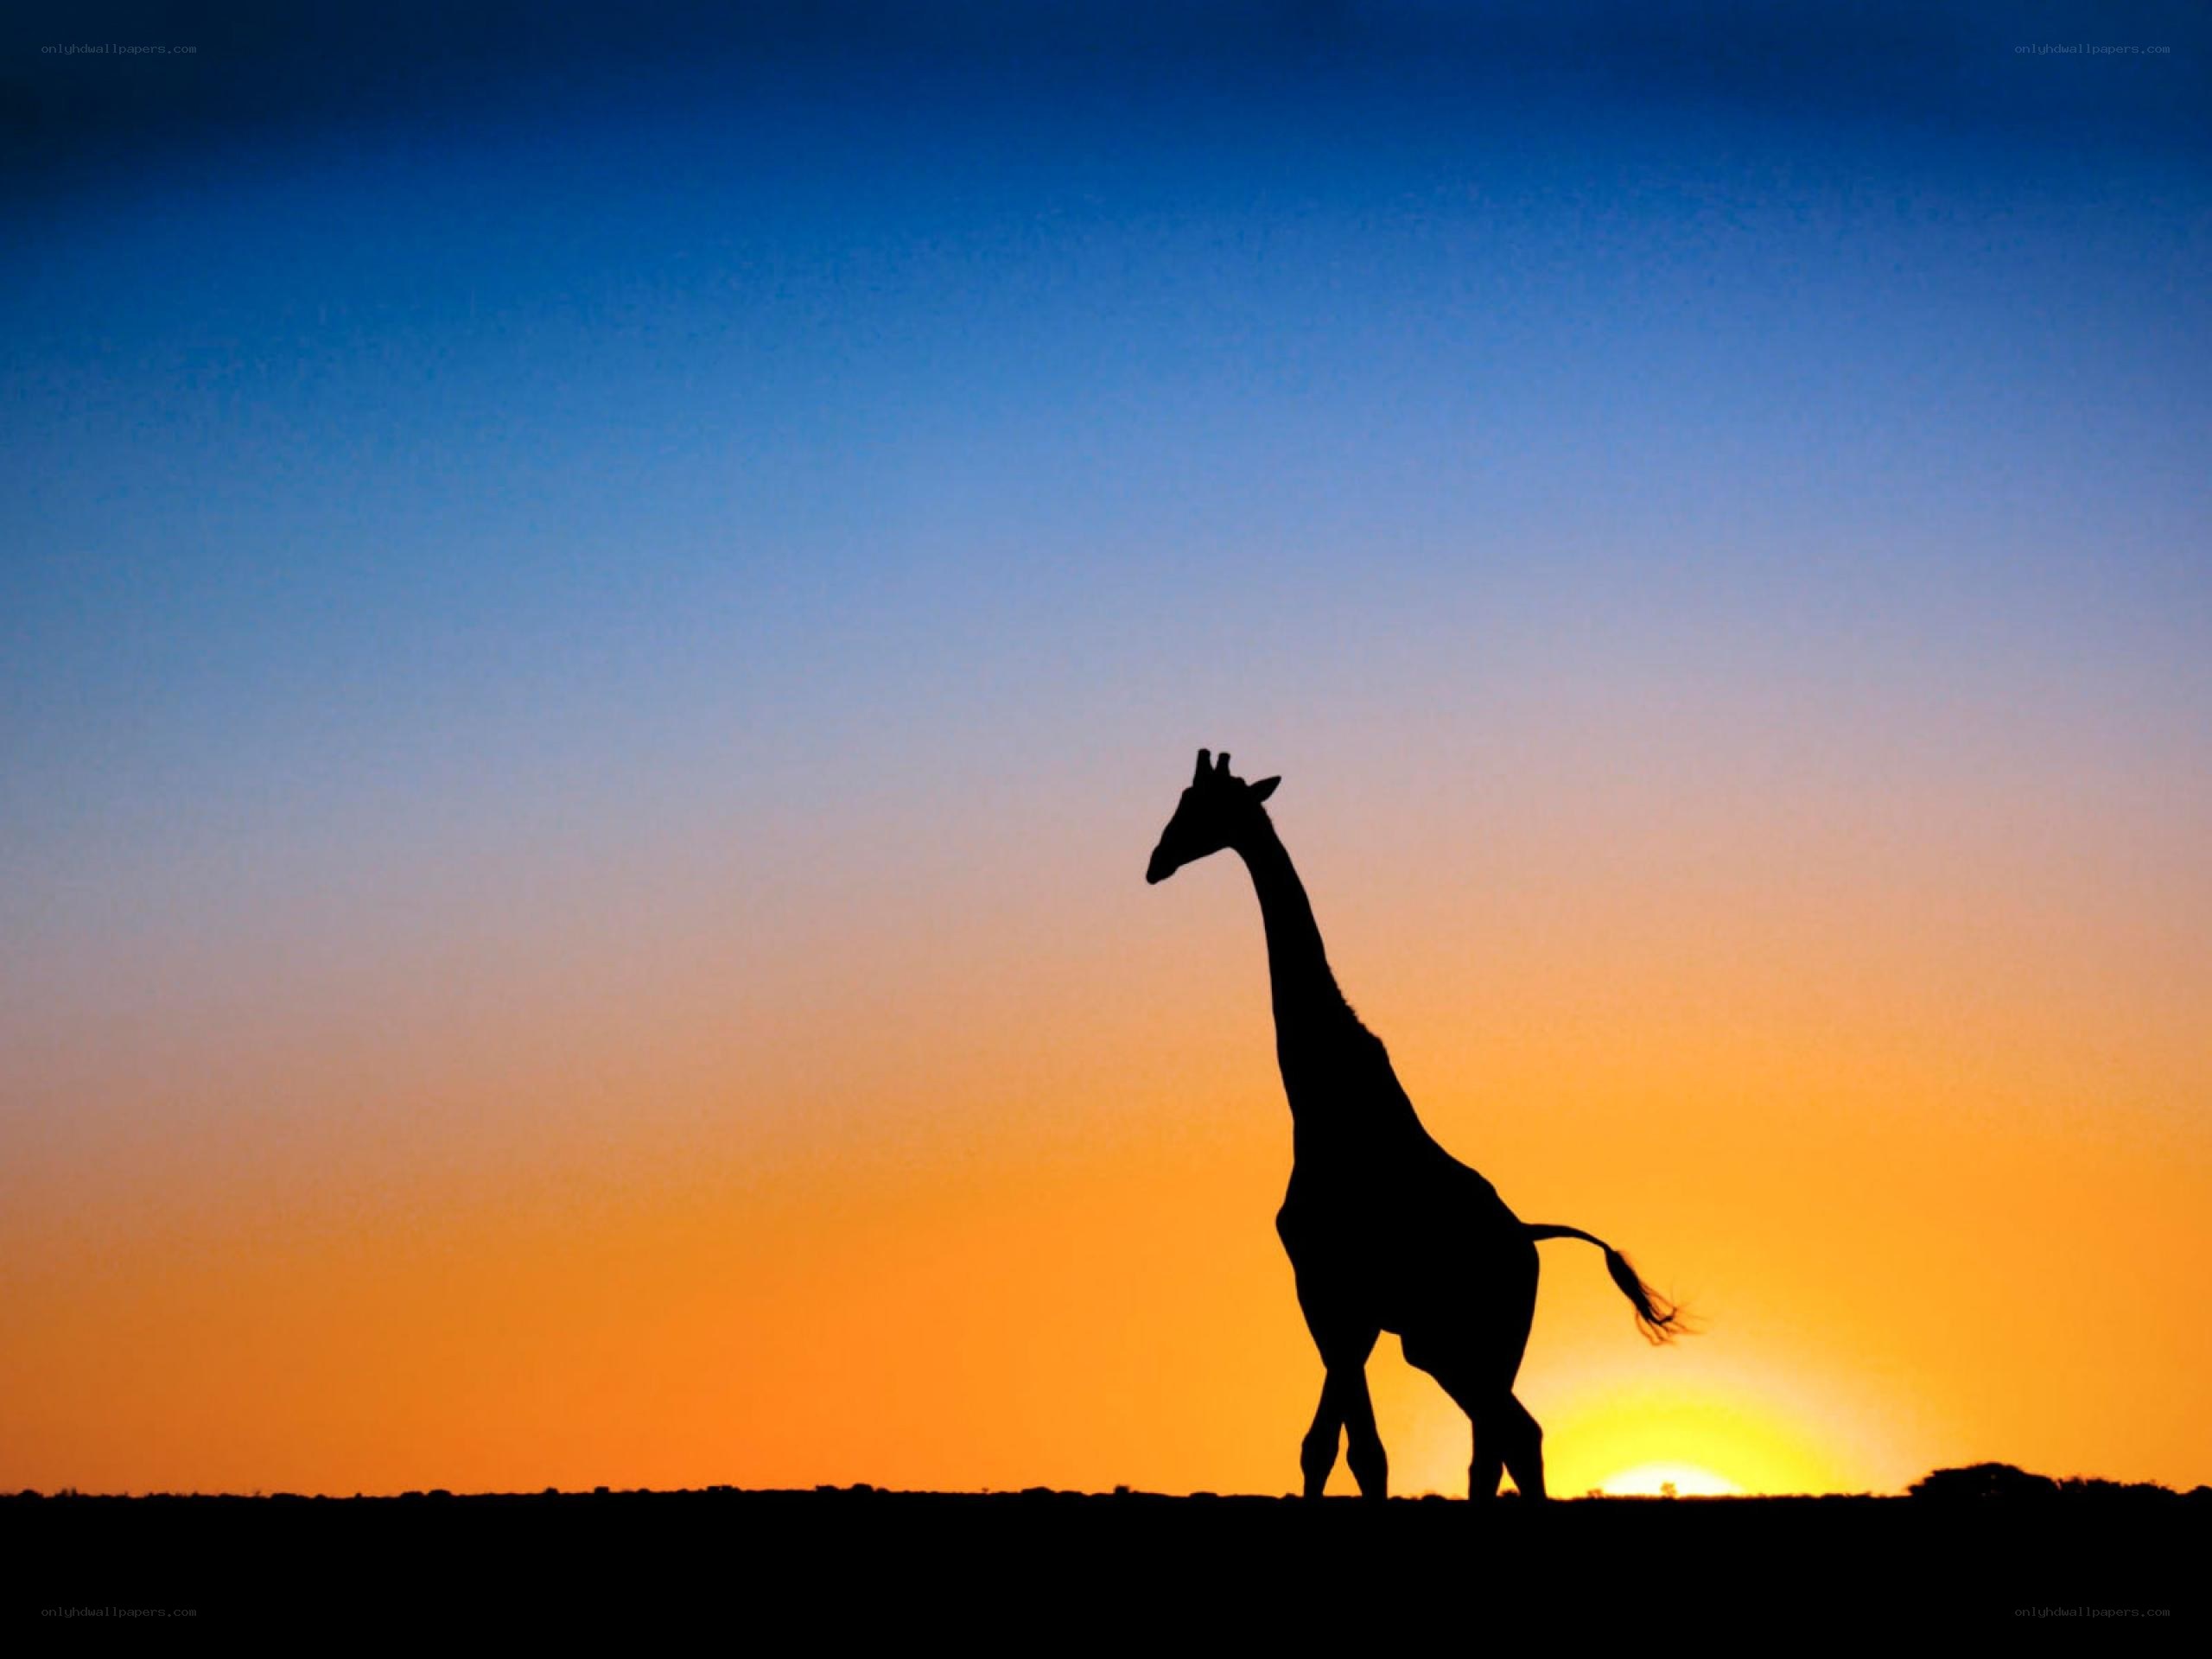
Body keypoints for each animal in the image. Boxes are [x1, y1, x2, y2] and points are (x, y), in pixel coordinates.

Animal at [1146, 749, 1686, 1500]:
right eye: (1181, 800)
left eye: (1202, 807)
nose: (1156, 861)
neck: (1323, 1100)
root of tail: (1528, 1238)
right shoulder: (1348, 1305)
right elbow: (1329, 1446)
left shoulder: (1331, 1289)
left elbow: (1355, 1450)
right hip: (1450, 1344)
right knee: (1507, 1438)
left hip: (1465, 1339)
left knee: (1511, 1435)